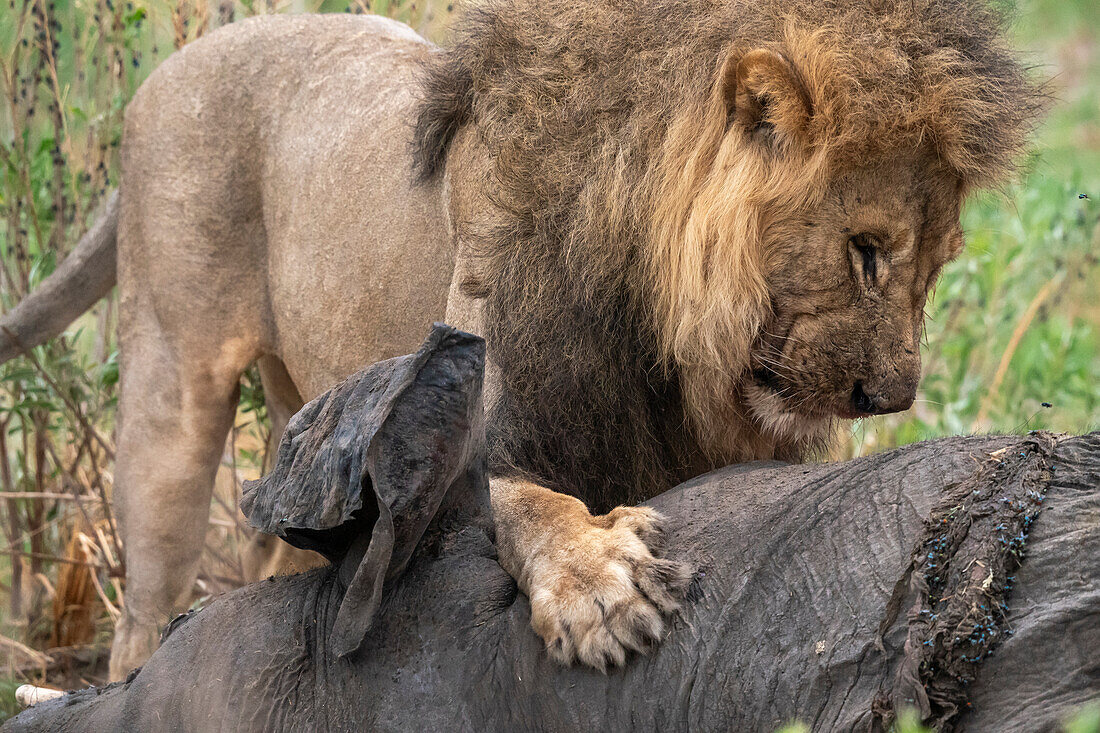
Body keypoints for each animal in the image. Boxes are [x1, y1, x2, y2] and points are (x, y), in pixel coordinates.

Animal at [0, 0, 1034, 677]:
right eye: (865, 251)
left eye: (936, 264)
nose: (890, 399)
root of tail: (181, 61)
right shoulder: (461, 432)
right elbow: (532, 501)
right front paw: (600, 584)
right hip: (171, 396)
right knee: (144, 609)